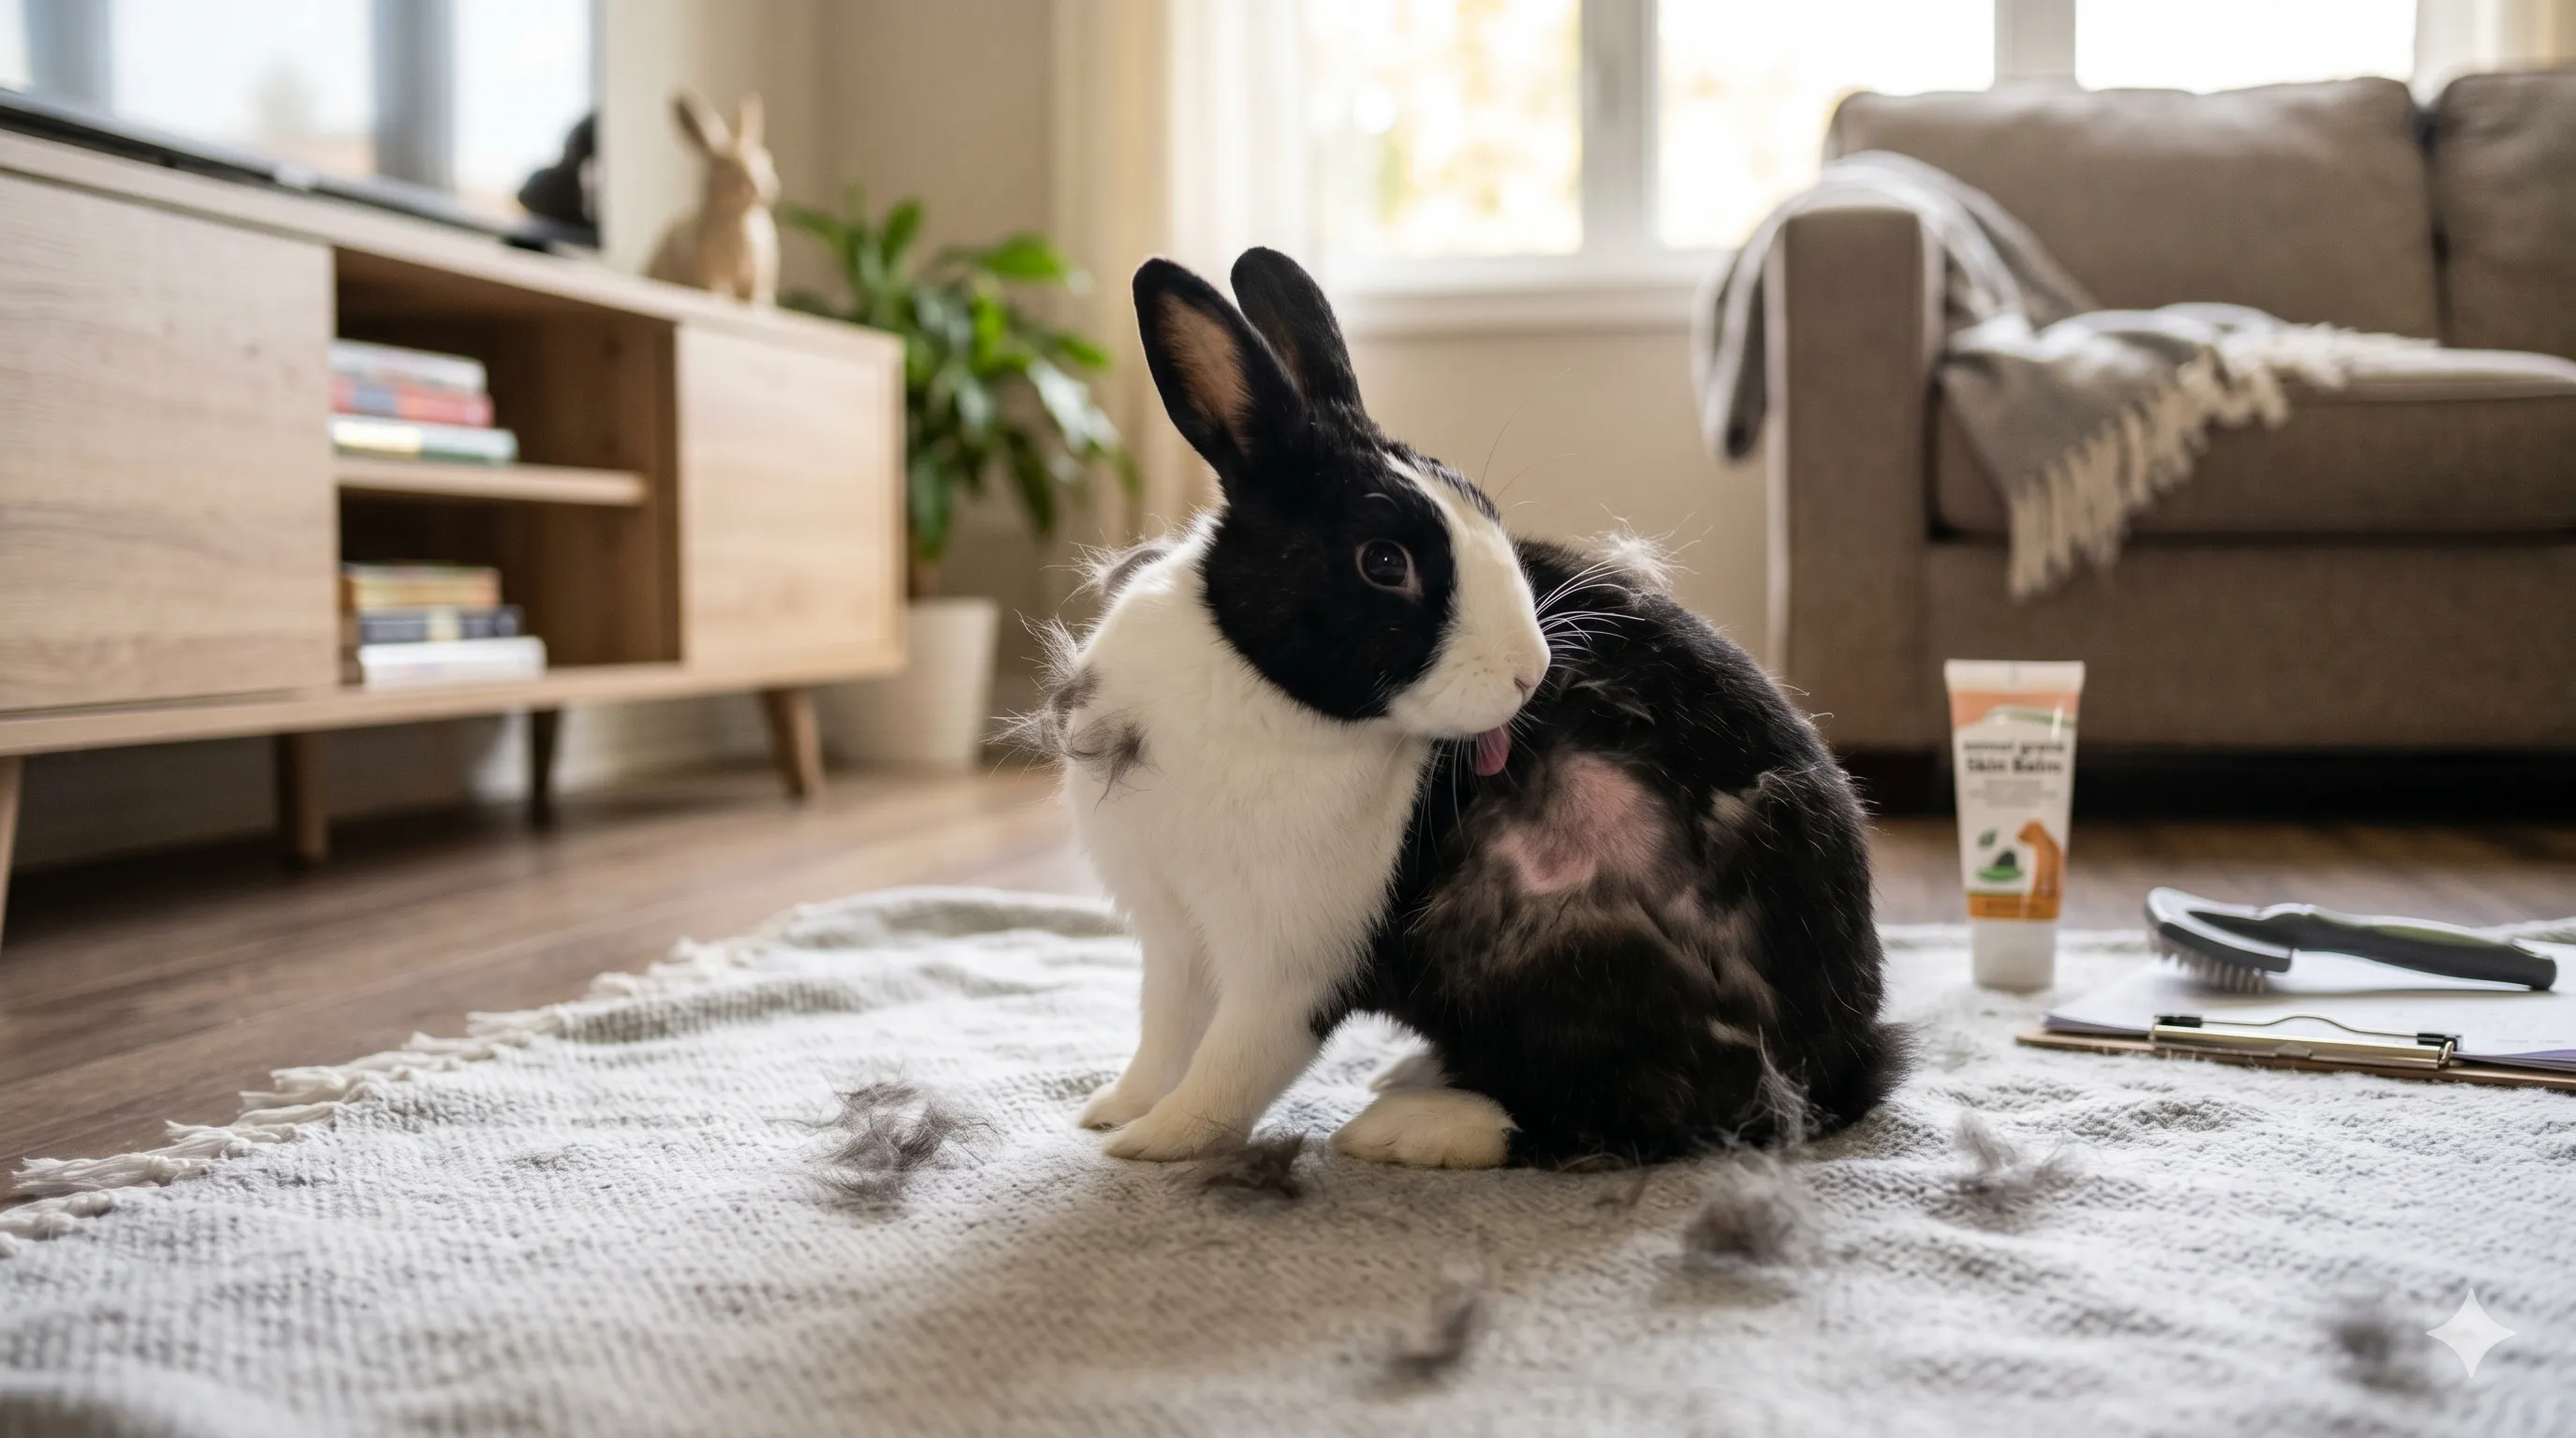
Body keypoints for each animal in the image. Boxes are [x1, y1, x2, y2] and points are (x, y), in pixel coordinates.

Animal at [646, 90, 778, 306]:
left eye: (766, 159)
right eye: (726, 164)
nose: (766, 186)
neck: (740, 218)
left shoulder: (759, 276)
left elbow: (757, 295)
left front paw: (759, 306)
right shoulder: (711, 273)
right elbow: (717, 287)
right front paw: (720, 299)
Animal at [1032, 248, 1903, 1169]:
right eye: (1384, 562)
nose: (1532, 673)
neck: (1255, 679)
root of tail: (1846, 1061)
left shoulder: (1290, 960)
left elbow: (1233, 1065)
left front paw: (1153, 1145)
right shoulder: (1172, 936)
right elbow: (1165, 1034)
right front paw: (1112, 1110)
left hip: (1579, 953)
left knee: (1643, 1117)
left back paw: (1411, 1124)